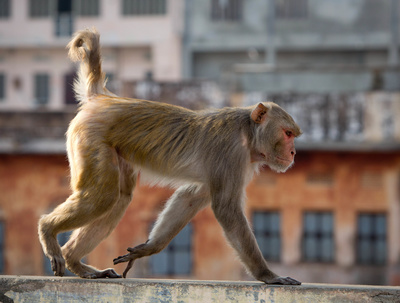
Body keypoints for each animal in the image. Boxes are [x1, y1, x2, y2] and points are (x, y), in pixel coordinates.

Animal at [37, 27, 302, 284]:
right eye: (287, 133)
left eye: (293, 135)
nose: (293, 152)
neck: (247, 132)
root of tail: (102, 98)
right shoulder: (230, 154)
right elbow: (226, 209)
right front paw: (267, 275)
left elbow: (192, 196)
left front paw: (149, 249)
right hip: (91, 138)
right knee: (104, 195)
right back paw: (48, 230)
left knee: (119, 197)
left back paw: (75, 261)